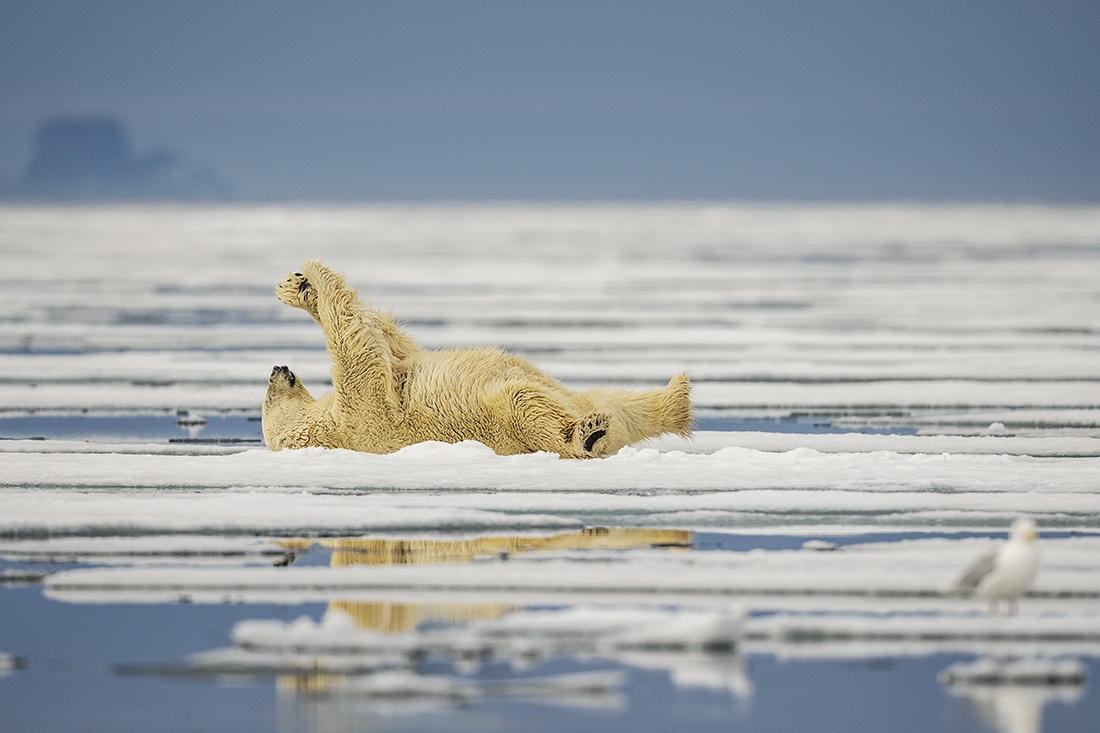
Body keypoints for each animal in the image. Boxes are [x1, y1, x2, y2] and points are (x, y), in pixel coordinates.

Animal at [262, 260, 692, 459]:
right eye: (267, 399)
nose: (277, 368)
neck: (332, 426)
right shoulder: (363, 413)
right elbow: (358, 349)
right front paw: (313, 273)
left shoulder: (386, 385)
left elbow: (396, 345)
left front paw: (298, 287)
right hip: (501, 418)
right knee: (528, 405)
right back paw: (587, 434)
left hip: (582, 397)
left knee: (618, 402)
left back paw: (677, 398)